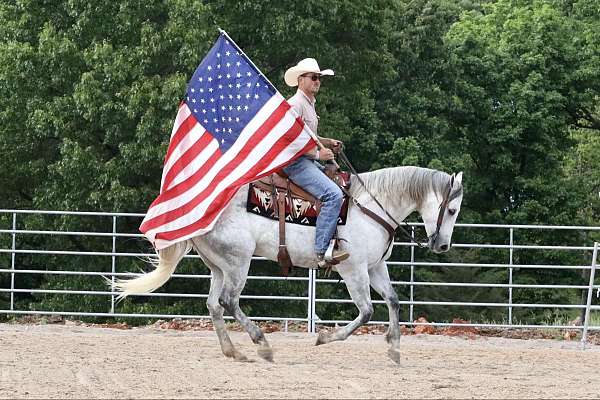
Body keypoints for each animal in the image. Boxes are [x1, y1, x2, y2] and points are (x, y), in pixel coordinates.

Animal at [115, 164, 466, 364]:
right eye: (451, 210)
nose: (442, 245)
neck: (370, 206)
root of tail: (203, 209)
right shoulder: (353, 269)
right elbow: (366, 312)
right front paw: (324, 337)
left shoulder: (374, 267)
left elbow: (393, 301)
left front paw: (394, 349)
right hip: (239, 262)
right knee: (229, 301)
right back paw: (262, 345)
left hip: (219, 265)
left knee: (214, 305)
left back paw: (234, 352)